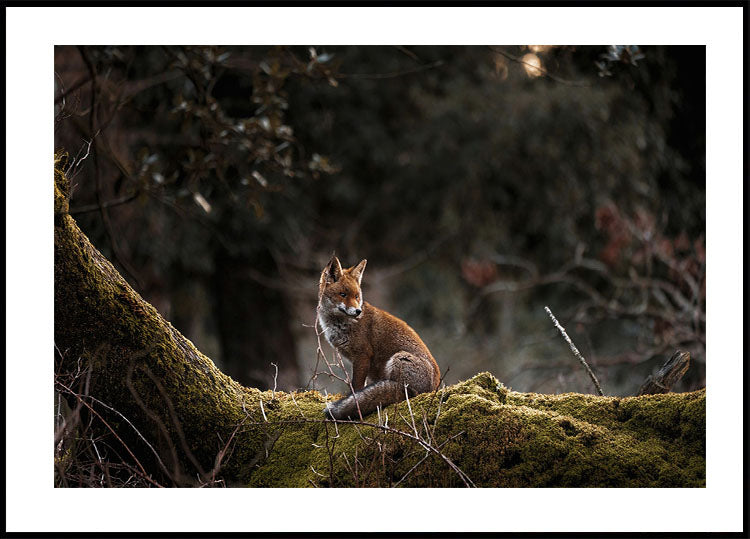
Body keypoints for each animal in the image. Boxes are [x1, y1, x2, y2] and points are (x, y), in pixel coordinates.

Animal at [317, 256, 441, 420]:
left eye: (357, 296)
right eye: (343, 294)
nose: (358, 311)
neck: (339, 324)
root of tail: (434, 387)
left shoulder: (363, 355)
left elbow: (356, 386)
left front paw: (354, 401)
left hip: (399, 359)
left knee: (405, 393)